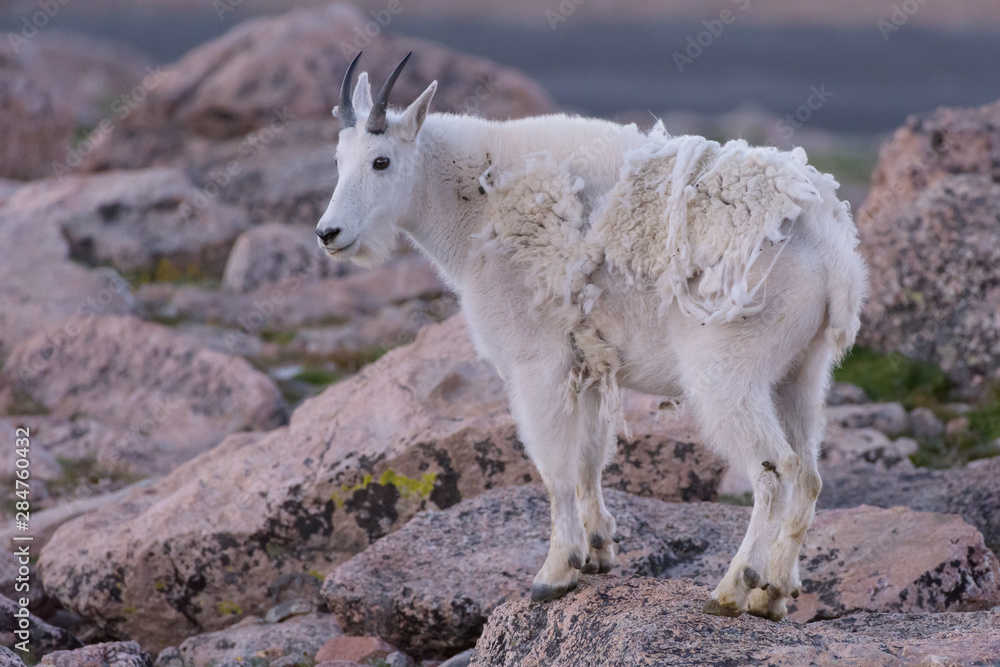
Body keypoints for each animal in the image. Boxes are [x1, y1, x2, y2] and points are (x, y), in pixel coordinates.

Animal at [316, 52, 868, 620]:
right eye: (337, 159)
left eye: (381, 161)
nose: (328, 234)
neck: (476, 200)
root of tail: (829, 248)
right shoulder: (588, 364)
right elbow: (588, 458)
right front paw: (600, 549)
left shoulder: (537, 363)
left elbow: (554, 467)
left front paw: (555, 572)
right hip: (802, 370)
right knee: (808, 475)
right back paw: (774, 594)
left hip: (728, 369)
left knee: (773, 470)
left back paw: (734, 588)